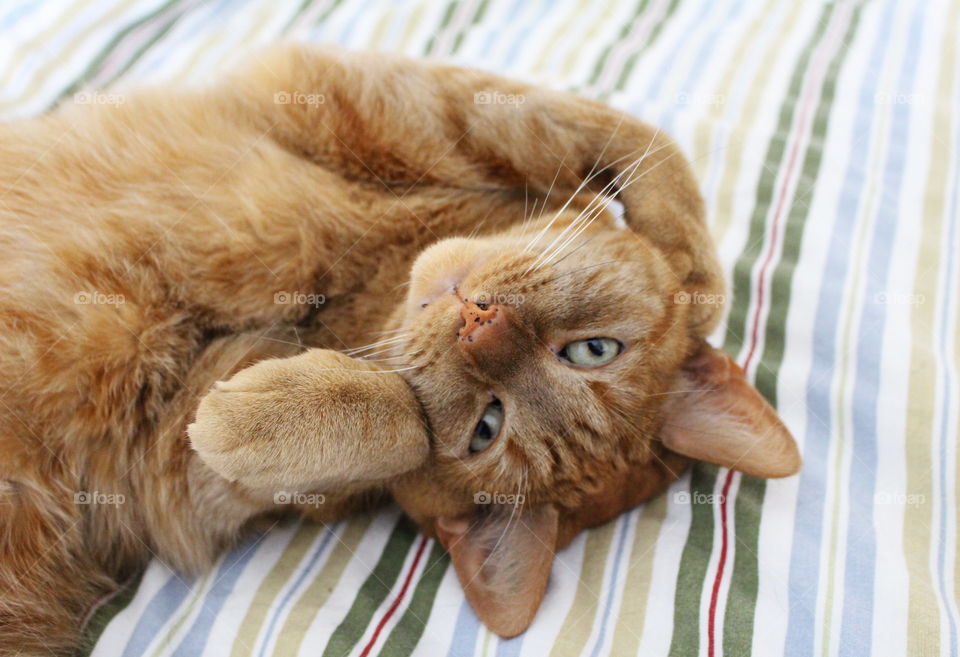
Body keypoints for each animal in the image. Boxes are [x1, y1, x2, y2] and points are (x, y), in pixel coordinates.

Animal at [0, 46, 800, 656]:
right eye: (593, 351)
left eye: (486, 426)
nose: (479, 325)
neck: (368, 276)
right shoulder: (386, 97)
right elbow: (625, 137)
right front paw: (695, 276)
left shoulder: (170, 460)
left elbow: (396, 421)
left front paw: (282, 413)